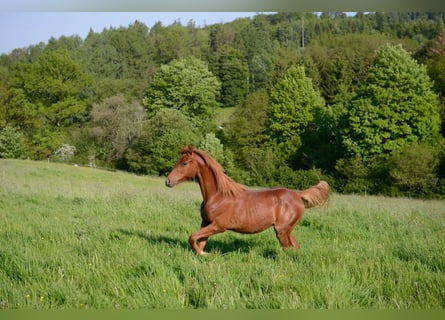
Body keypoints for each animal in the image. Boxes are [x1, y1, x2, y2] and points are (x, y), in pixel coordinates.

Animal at [165, 146, 328, 256]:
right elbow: (200, 241)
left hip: (282, 231)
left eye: (184, 163)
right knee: (295, 247)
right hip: (287, 230)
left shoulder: (218, 226)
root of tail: (298, 195)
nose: (168, 181)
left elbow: (192, 237)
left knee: (288, 249)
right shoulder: (206, 223)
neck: (217, 196)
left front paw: (205, 254)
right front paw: (204, 255)